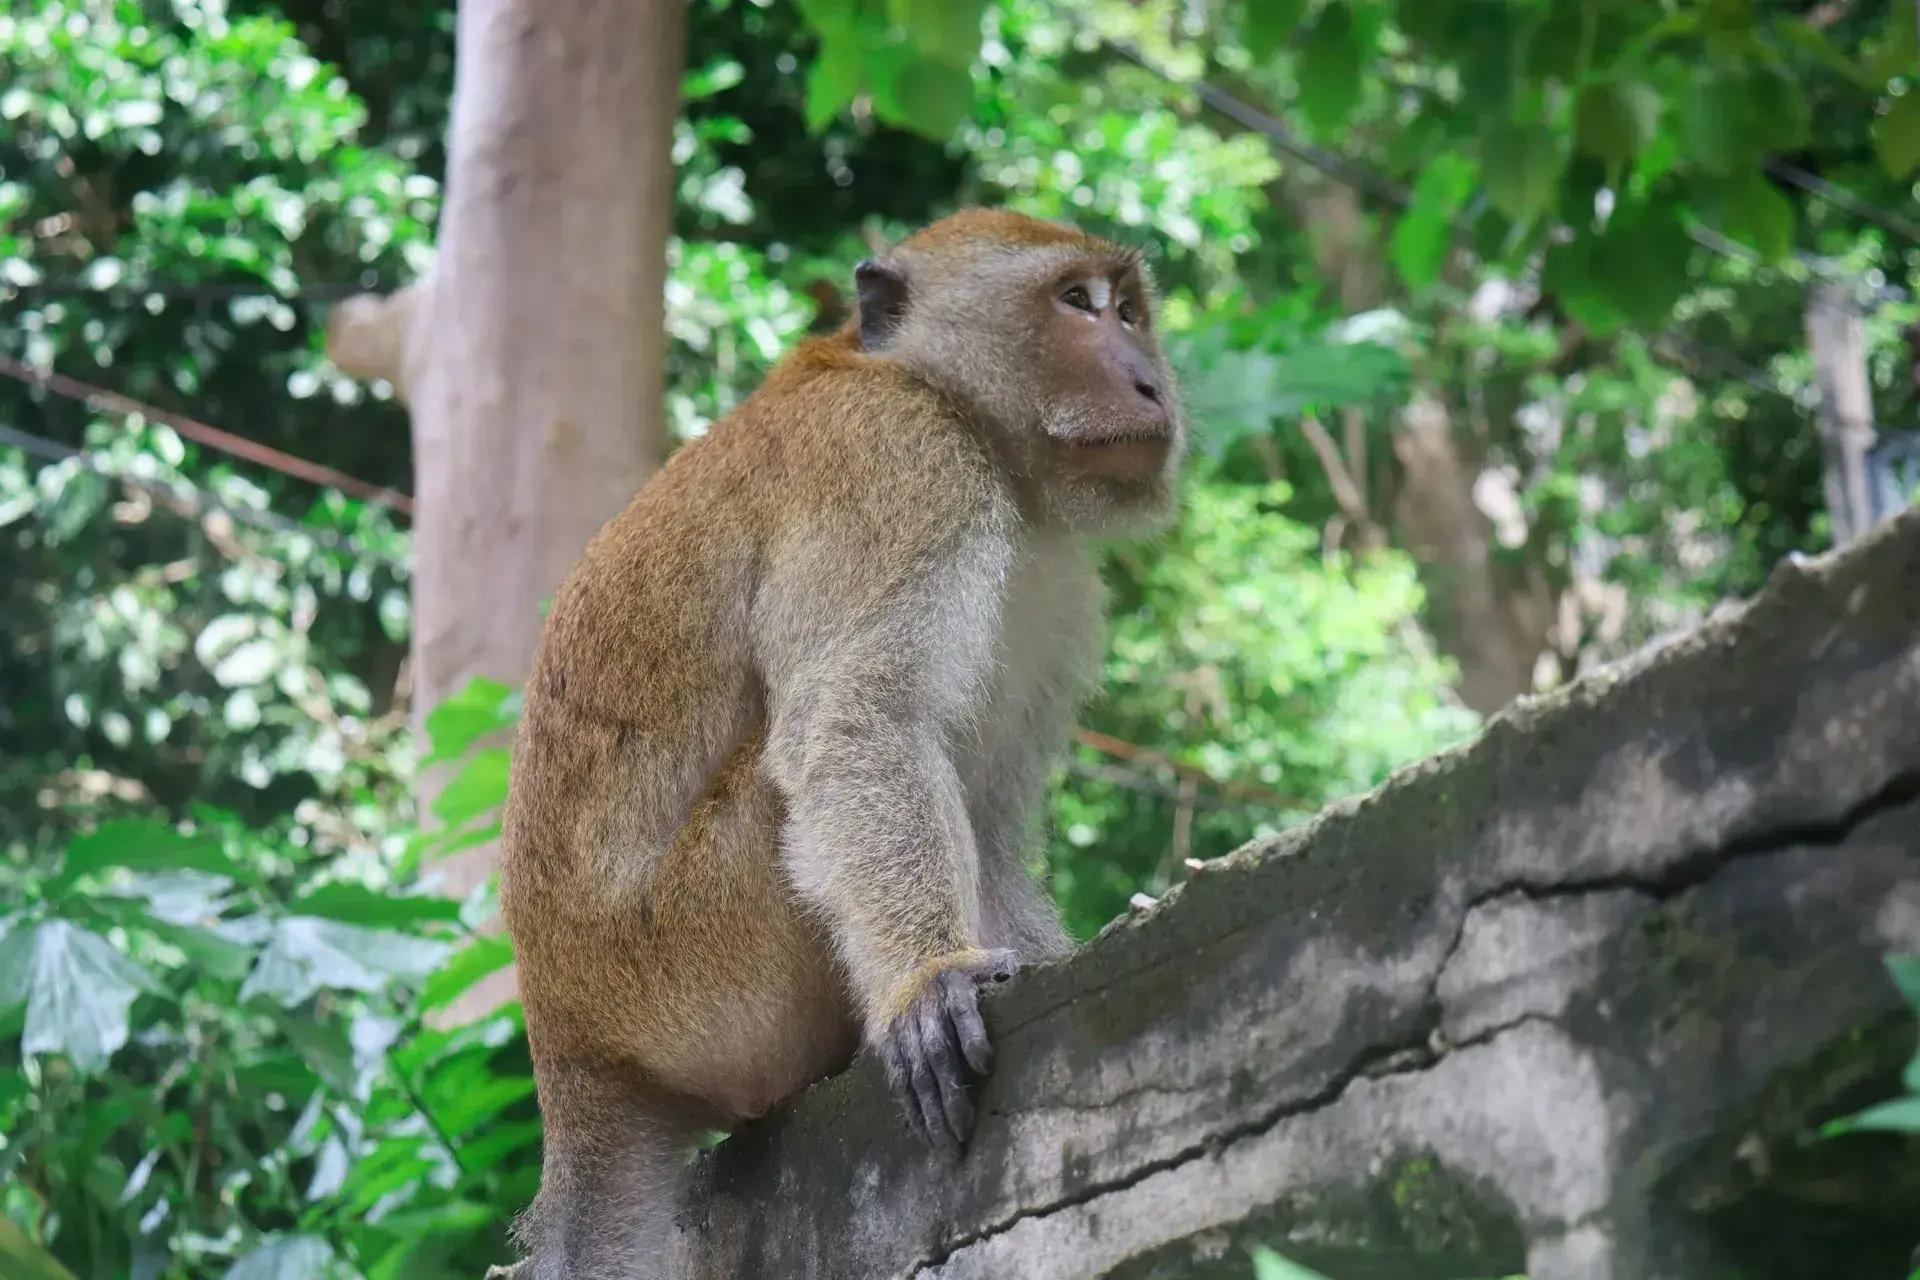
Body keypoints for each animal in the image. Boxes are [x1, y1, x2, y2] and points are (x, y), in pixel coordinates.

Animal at [497, 208, 1185, 1279]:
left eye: (1130, 310)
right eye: (1076, 302)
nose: (1152, 381)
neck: (945, 400)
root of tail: (570, 1042)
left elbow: (985, 818)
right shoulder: (894, 463)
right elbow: (858, 724)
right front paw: (929, 982)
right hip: (698, 974)